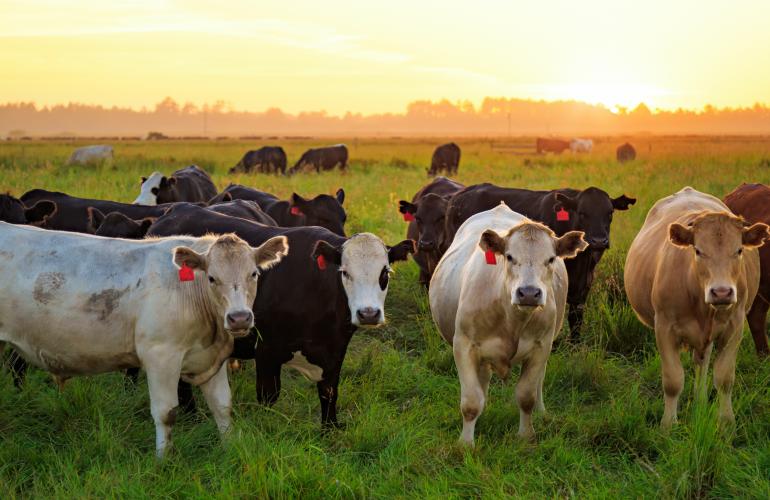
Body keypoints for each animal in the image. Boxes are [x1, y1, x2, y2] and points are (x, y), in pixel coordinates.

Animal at [0, 222, 289, 457]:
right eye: (211, 278)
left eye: (253, 274)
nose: (239, 318)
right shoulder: (160, 355)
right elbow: (166, 412)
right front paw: (163, 460)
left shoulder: (212, 358)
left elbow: (222, 407)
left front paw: (231, 448)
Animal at [146, 203, 415, 426]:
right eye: (345, 272)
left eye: (385, 273)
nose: (368, 313)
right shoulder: (266, 350)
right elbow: (268, 396)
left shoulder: (335, 350)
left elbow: (329, 393)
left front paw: (329, 430)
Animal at [430, 203, 587, 445]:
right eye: (510, 256)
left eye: (551, 258)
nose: (529, 293)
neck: (512, 318)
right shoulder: (463, 345)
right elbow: (471, 402)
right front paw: (465, 444)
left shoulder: (541, 346)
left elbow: (526, 396)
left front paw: (526, 435)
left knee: (538, 382)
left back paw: (542, 412)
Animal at [445, 183, 635, 339]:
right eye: (582, 213)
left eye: (609, 213)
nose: (599, 241)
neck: (581, 263)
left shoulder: (583, 288)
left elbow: (576, 321)